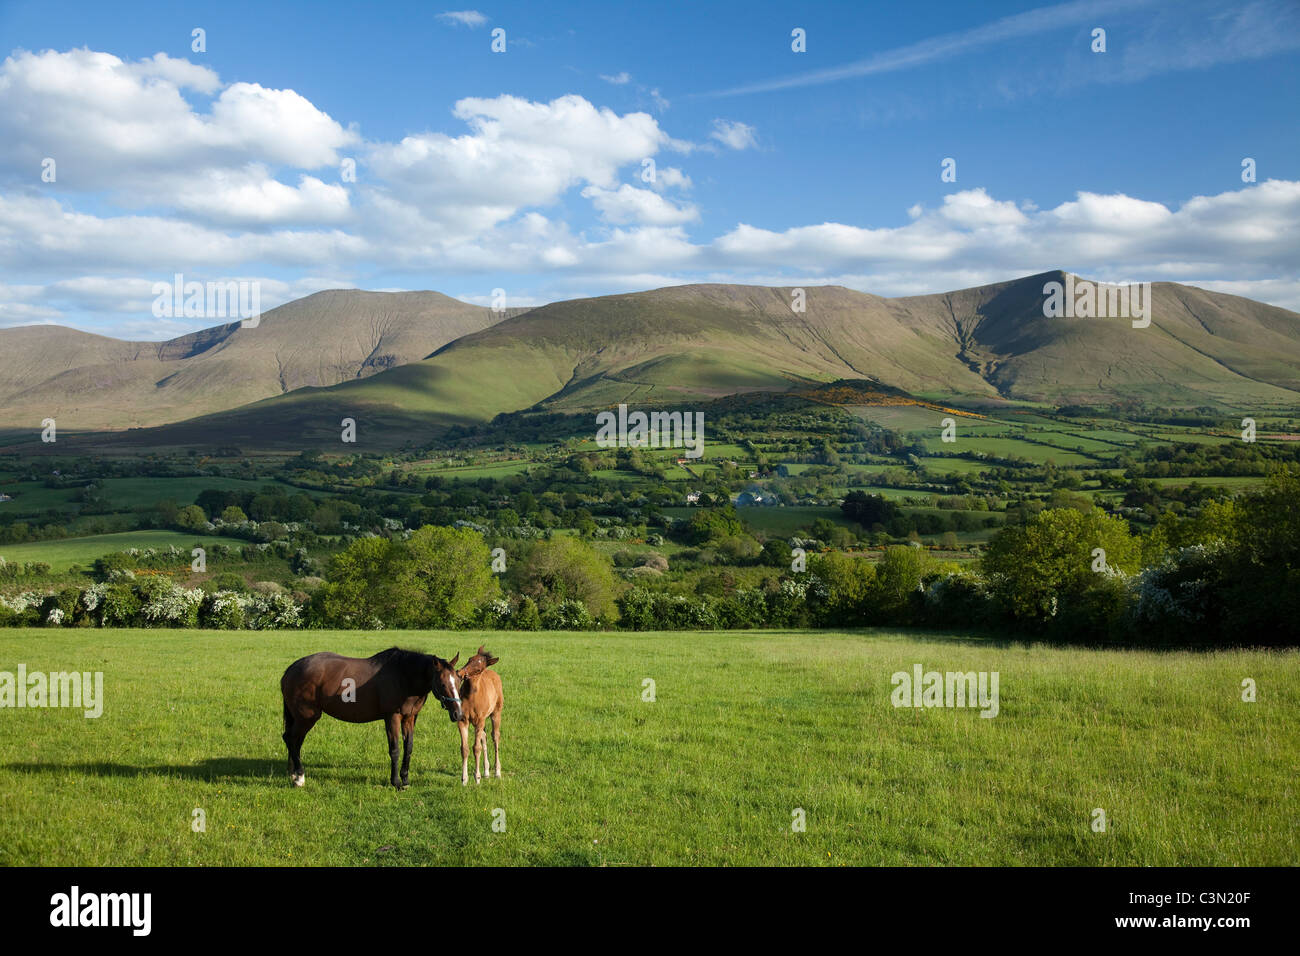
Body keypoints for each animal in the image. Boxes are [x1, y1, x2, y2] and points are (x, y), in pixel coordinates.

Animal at [278, 650, 462, 790]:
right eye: (442, 683)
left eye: (459, 681)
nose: (458, 714)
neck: (403, 676)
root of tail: (291, 669)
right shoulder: (392, 717)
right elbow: (395, 750)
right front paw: (396, 782)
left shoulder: (409, 718)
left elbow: (408, 748)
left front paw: (405, 780)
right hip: (306, 716)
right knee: (290, 739)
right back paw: (299, 777)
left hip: (301, 718)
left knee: (295, 741)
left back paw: (294, 773)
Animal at [452, 647, 501, 790]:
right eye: (470, 659)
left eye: (479, 669)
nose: (460, 673)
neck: (471, 698)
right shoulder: (463, 721)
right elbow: (465, 749)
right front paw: (464, 779)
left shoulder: (479, 721)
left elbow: (476, 748)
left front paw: (477, 778)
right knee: (484, 736)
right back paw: (486, 771)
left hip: (496, 713)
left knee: (495, 736)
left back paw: (497, 772)